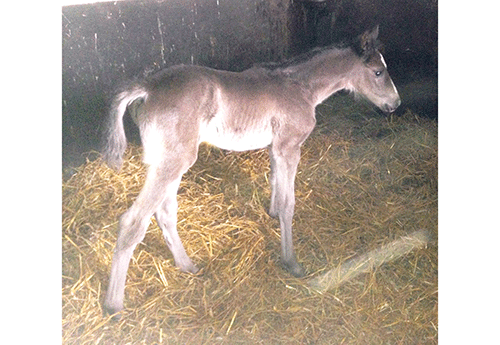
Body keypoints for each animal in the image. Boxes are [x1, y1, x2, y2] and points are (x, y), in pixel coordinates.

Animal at [103, 25, 400, 314]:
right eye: (378, 71)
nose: (395, 103)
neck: (300, 88)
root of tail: (147, 88)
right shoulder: (289, 147)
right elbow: (289, 203)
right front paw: (291, 262)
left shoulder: (275, 148)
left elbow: (275, 184)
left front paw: (272, 214)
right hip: (174, 160)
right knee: (133, 221)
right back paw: (113, 304)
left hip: (165, 161)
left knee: (164, 213)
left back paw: (187, 265)